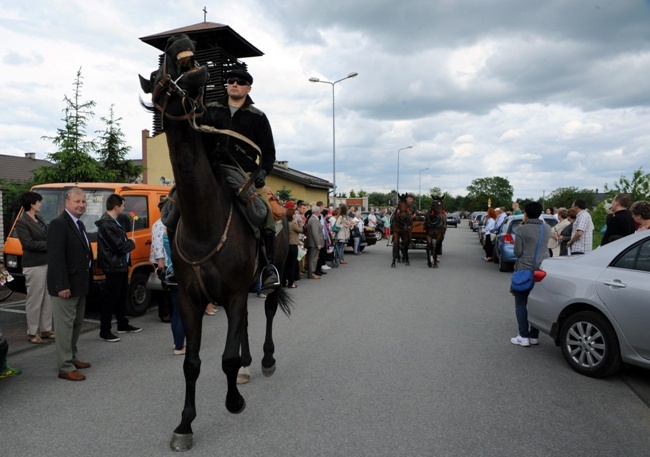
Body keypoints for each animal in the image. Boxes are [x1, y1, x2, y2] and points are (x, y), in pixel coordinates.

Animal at [140, 33, 290, 450]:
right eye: (160, 71)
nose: (183, 41)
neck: (202, 222)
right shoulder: (191, 300)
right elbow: (192, 363)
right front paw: (184, 425)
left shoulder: (236, 293)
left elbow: (224, 358)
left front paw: (234, 401)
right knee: (246, 326)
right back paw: (248, 366)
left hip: (270, 276)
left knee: (267, 311)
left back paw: (265, 360)